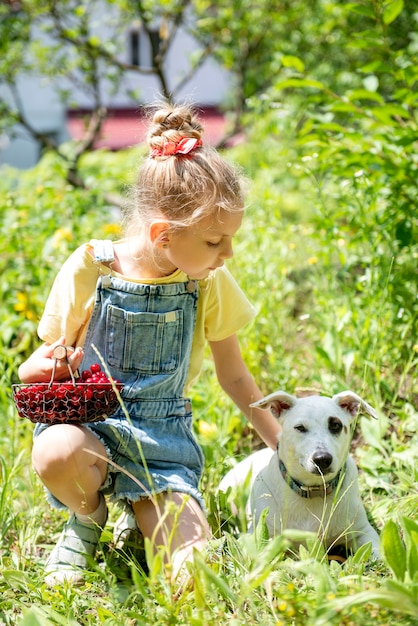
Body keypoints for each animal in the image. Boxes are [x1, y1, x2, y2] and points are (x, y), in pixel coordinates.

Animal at [220, 390, 380, 556]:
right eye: (300, 428)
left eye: (336, 425)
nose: (322, 459)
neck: (313, 490)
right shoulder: (258, 536)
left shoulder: (363, 532)